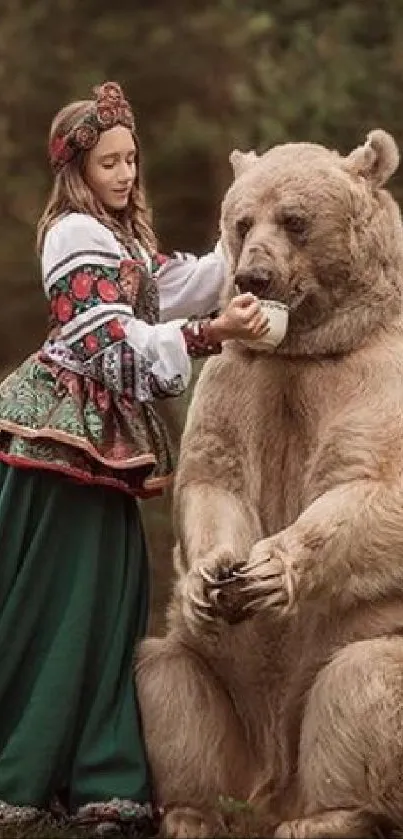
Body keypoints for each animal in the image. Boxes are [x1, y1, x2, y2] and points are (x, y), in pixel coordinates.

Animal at [137, 133, 403, 839]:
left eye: (295, 219)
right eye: (240, 222)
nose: (253, 278)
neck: (305, 345)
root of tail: (274, 785)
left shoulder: (372, 373)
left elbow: (374, 485)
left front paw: (266, 569)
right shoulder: (241, 379)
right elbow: (213, 473)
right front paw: (216, 574)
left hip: (361, 645)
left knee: (362, 687)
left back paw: (330, 817)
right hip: (222, 683)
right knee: (165, 683)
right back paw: (191, 814)